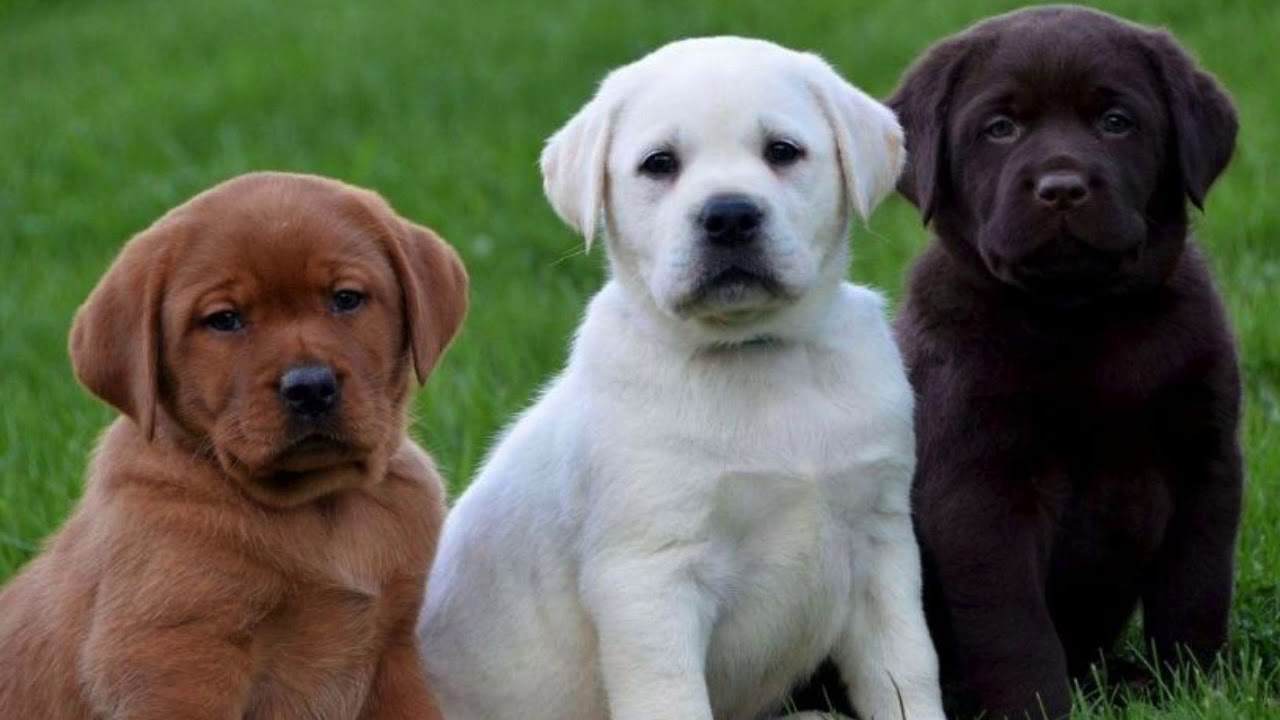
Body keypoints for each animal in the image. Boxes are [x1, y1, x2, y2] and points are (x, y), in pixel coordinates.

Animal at [0, 172, 468, 717]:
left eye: (346, 298)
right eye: (224, 320)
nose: (310, 387)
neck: (322, 510)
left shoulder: (398, 650)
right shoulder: (177, 659)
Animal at [414, 35, 947, 717]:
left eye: (782, 151)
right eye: (659, 164)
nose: (729, 216)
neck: (756, 357)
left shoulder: (881, 545)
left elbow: (906, 672)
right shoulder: (649, 578)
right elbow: (671, 696)